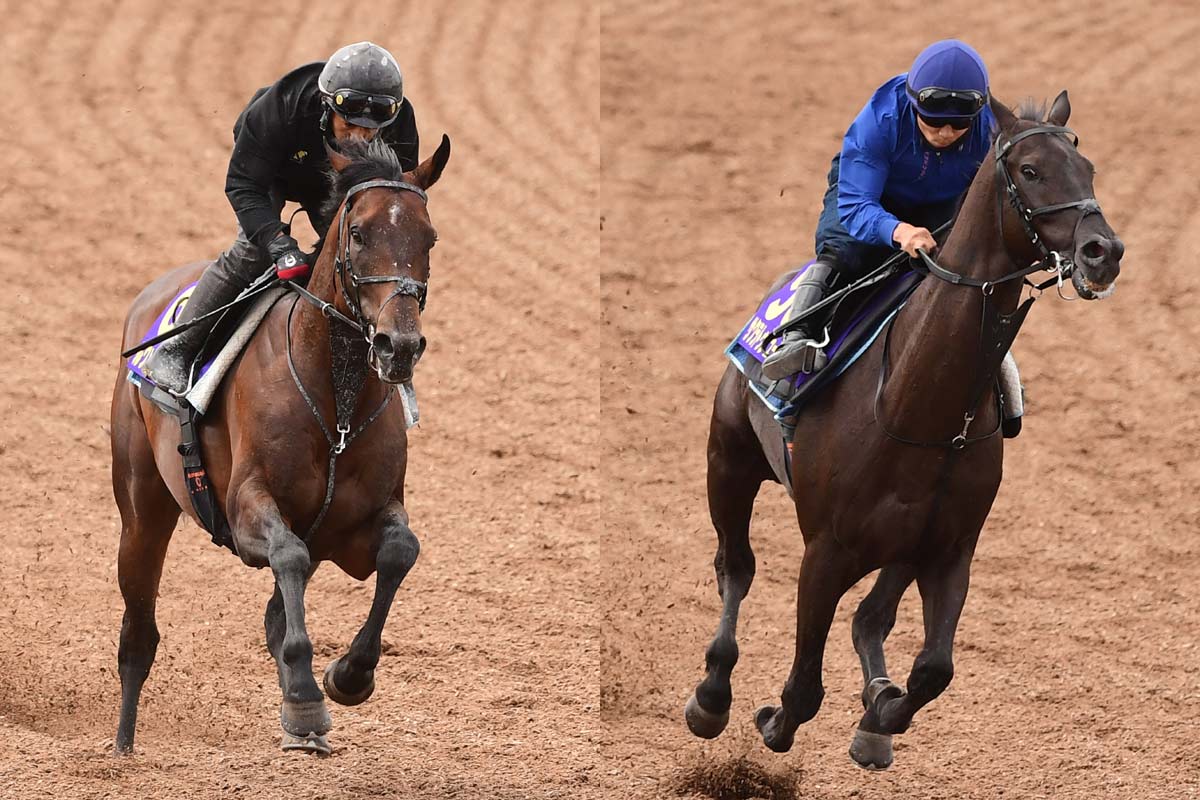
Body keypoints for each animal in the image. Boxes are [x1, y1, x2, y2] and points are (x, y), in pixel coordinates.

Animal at [110, 134, 450, 755]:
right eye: (358, 232)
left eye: (428, 237)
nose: (399, 345)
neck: (335, 403)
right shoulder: (248, 509)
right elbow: (287, 556)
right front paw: (307, 698)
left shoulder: (356, 526)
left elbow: (399, 552)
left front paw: (346, 678)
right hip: (142, 508)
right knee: (138, 634)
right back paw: (122, 749)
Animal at [685, 92, 1124, 769]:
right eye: (1029, 171)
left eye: (1089, 169)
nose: (1103, 252)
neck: (920, 406)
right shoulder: (825, 552)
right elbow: (804, 686)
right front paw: (774, 719)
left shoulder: (949, 548)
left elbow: (933, 669)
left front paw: (879, 714)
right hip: (729, 457)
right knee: (736, 565)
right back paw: (712, 694)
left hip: (904, 540)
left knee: (872, 616)